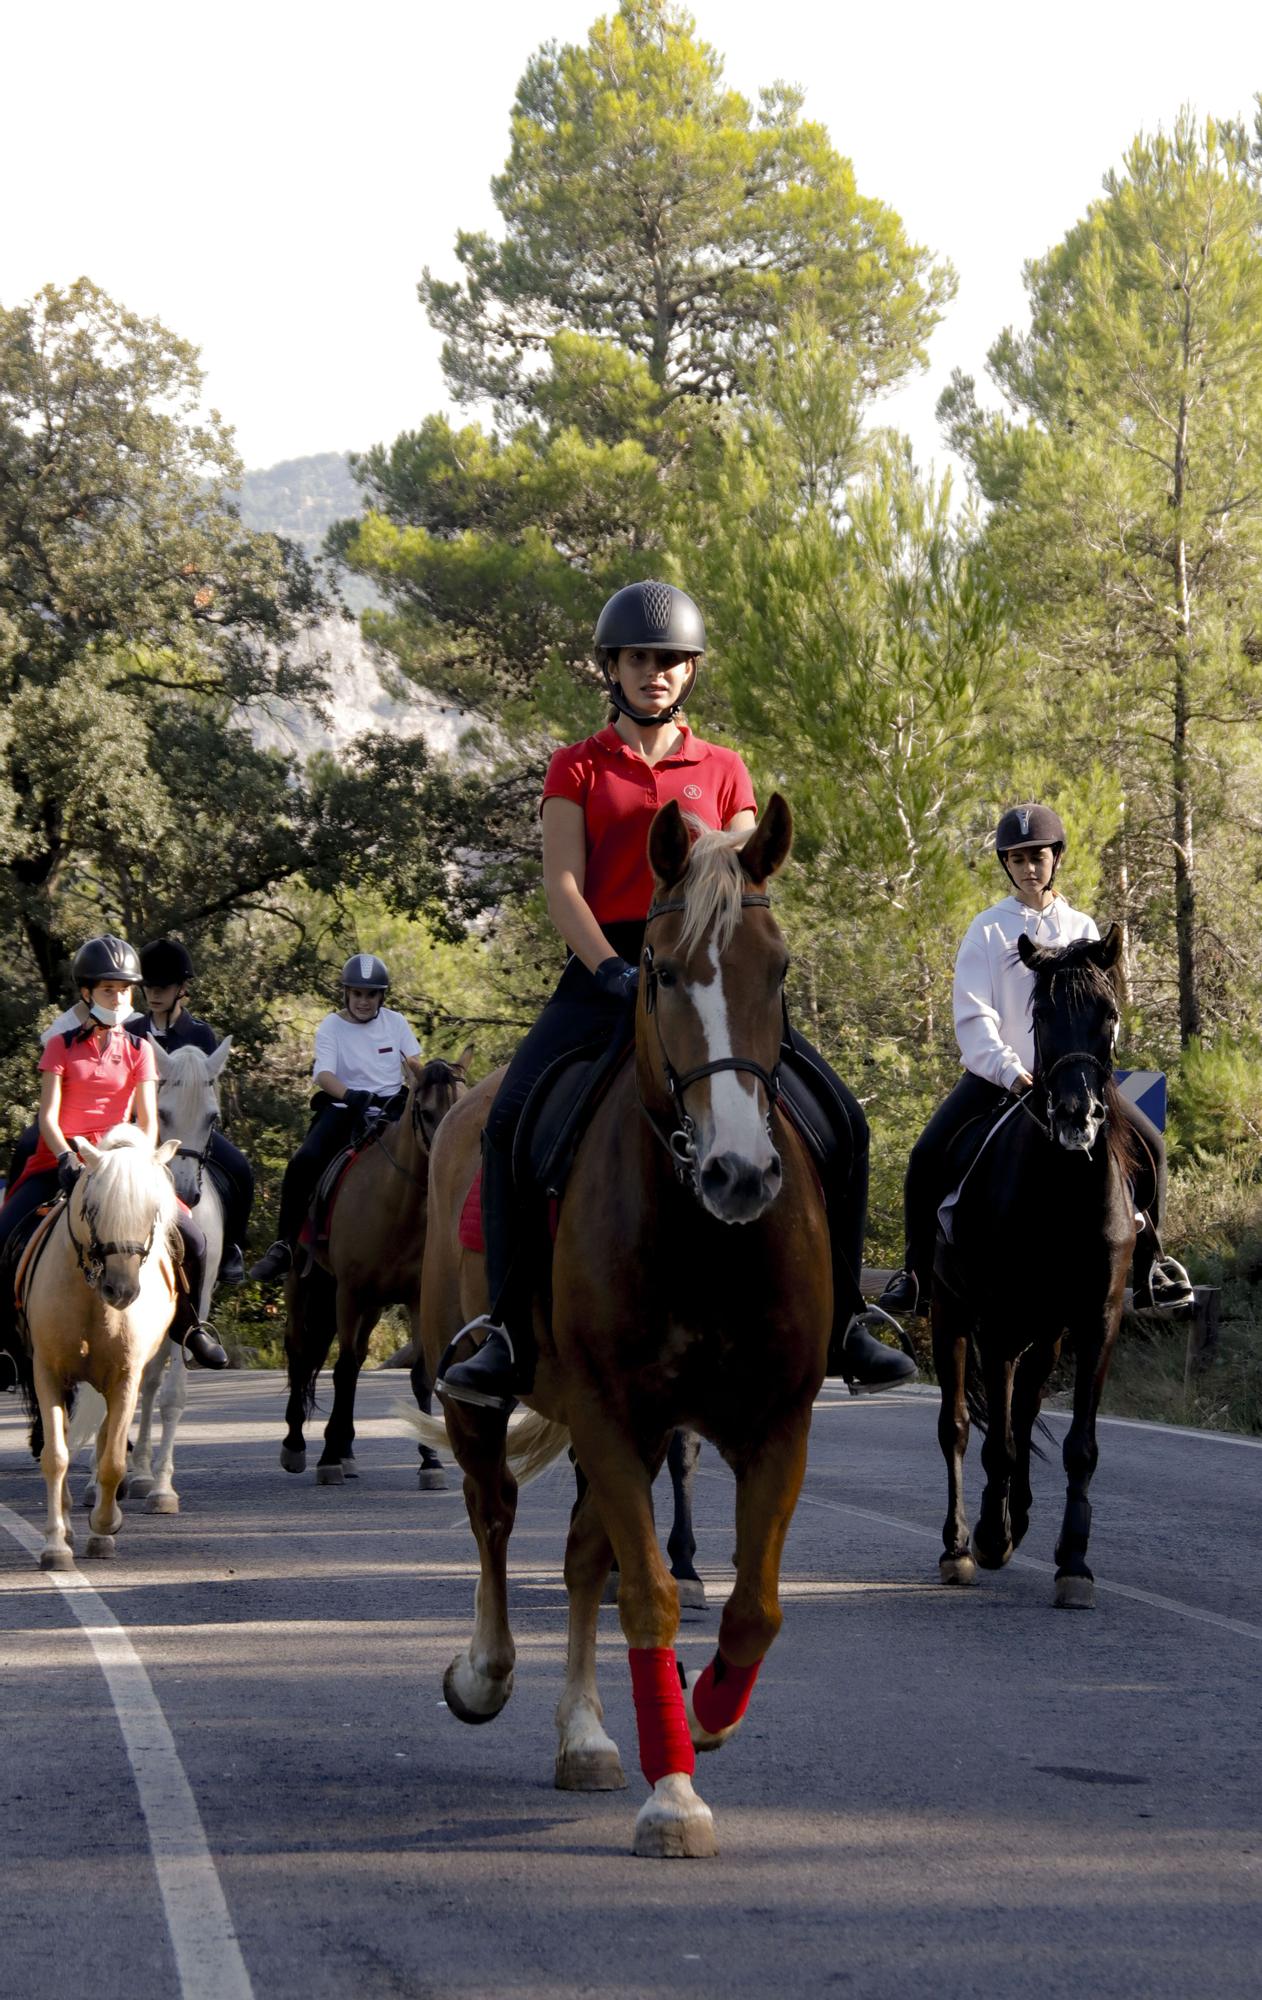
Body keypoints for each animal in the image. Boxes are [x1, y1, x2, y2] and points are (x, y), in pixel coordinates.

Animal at [12, 1128, 183, 1560]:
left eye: (153, 1211)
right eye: (91, 1208)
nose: (121, 1290)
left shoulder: (125, 1377)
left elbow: (112, 1462)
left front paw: (105, 1527)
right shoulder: (47, 1374)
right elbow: (55, 1455)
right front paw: (56, 1542)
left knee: (109, 1440)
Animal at [118, 1040, 237, 1504]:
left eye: (213, 1118)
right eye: (162, 1113)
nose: (185, 1191)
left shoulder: (193, 1305)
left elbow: (170, 1393)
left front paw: (162, 1486)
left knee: (151, 1381)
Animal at [278, 1048, 472, 1488]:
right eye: (426, 1111)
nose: (450, 1156)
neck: (397, 1206)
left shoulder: (413, 1299)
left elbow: (420, 1375)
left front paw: (430, 1462)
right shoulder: (348, 1293)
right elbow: (344, 1370)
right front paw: (327, 1458)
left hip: (372, 1304)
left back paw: (348, 1451)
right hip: (307, 1285)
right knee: (299, 1351)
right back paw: (296, 1445)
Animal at [418, 796, 840, 1856]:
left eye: (779, 968)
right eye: (657, 971)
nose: (740, 1173)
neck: (703, 1235)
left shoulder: (775, 1424)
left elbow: (752, 1606)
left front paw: (707, 1713)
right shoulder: (610, 1414)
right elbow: (649, 1591)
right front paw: (675, 1797)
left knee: (579, 1559)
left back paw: (587, 1737)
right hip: (480, 1397)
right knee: (493, 1513)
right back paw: (485, 1673)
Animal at [932, 924, 1144, 1608]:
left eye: (1108, 1014)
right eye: (1043, 1015)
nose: (1078, 1115)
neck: (1063, 1191)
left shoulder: (1096, 1320)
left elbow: (1078, 1446)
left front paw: (1073, 1562)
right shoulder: (997, 1322)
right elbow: (992, 1439)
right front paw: (990, 1538)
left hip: (1046, 1334)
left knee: (1022, 1413)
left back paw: (1017, 1519)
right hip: (950, 1312)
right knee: (959, 1425)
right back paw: (961, 1545)